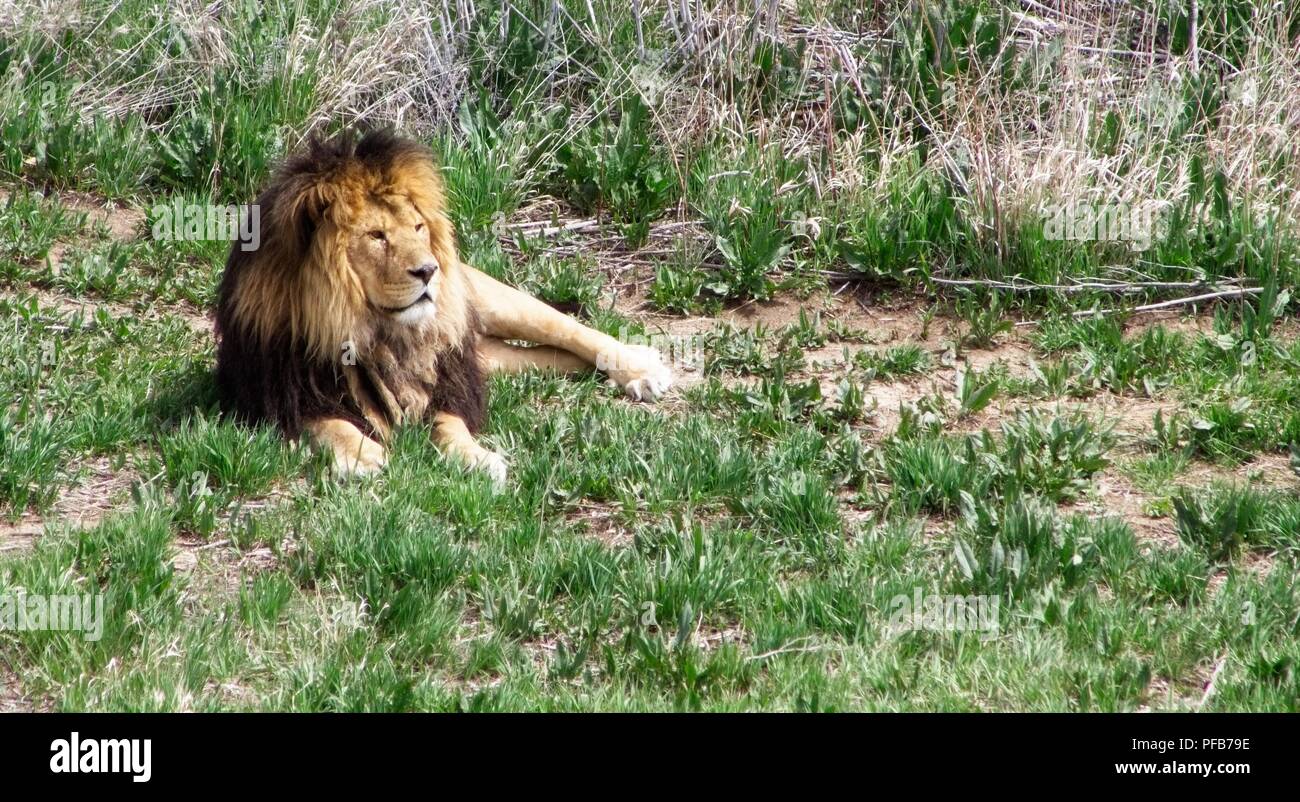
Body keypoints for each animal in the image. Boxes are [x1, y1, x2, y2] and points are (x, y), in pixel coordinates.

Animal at [214, 130, 672, 485]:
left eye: (418, 228)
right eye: (377, 235)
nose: (428, 270)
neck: (370, 330)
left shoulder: (446, 380)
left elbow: (451, 425)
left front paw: (476, 458)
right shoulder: (280, 396)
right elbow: (331, 425)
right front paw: (361, 456)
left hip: (489, 300)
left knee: (568, 330)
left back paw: (638, 369)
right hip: (488, 354)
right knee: (548, 357)